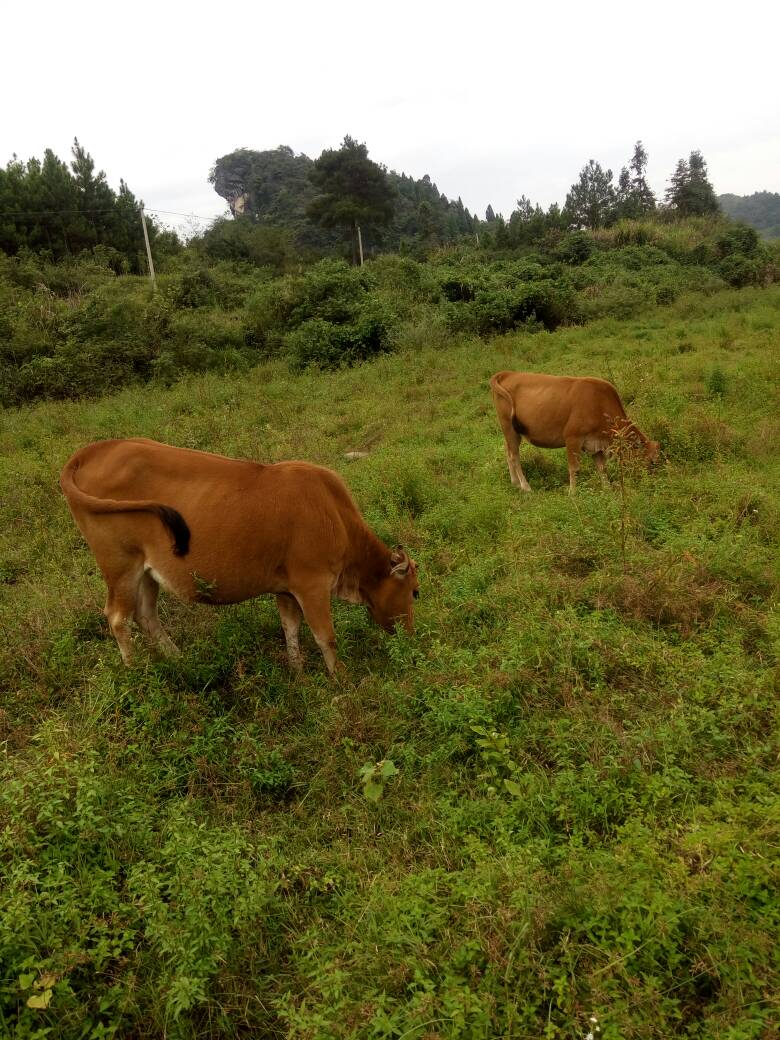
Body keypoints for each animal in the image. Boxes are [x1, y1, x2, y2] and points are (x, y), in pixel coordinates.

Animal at [59, 438, 422, 673]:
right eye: (415, 592)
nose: (410, 637)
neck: (334, 514)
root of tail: (93, 450)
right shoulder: (312, 585)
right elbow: (325, 638)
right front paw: (341, 680)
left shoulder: (286, 588)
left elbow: (290, 628)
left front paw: (298, 672)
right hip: (119, 565)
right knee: (117, 618)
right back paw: (136, 673)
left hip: (147, 570)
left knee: (146, 615)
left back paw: (178, 660)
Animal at [488, 370, 661, 490]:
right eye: (651, 461)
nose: (654, 483)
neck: (599, 403)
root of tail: (508, 373)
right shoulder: (572, 438)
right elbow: (574, 468)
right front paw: (573, 494)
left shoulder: (595, 443)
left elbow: (602, 468)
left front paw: (608, 490)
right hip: (510, 429)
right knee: (514, 456)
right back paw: (526, 487)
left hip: (509, 432)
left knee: (508, 452)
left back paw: (515, 483)